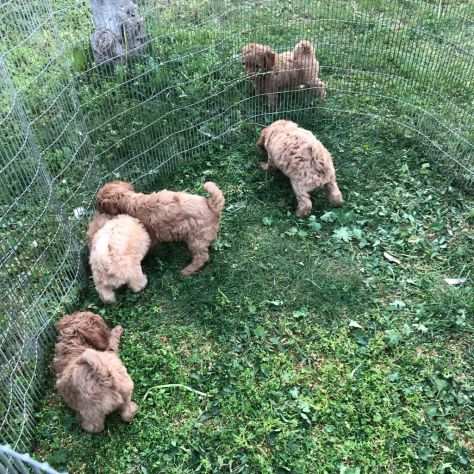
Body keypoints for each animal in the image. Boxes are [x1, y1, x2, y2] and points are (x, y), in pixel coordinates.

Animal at [95, 181, 225, 278]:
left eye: (99, 204)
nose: (97, 211)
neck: (130, 201)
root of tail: (212, 206)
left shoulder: (150, 234)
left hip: (196, 238)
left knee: (201, 257)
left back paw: (187, 270)